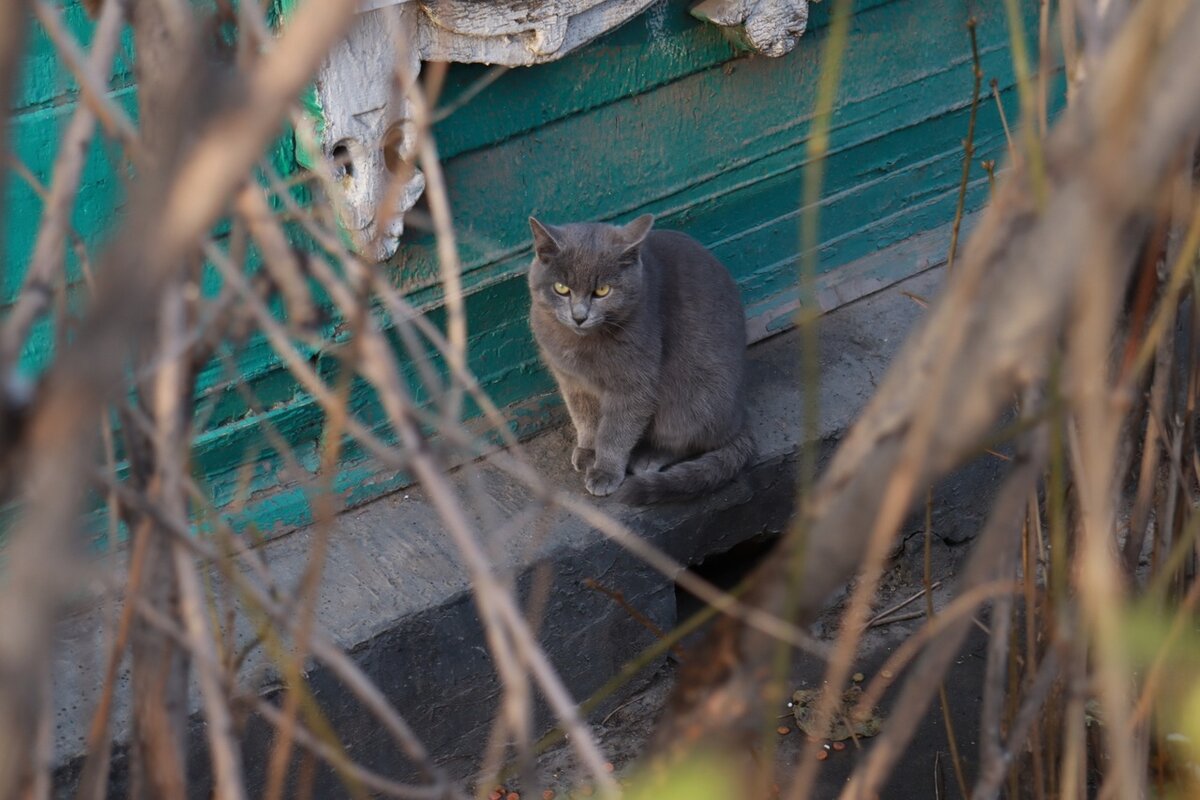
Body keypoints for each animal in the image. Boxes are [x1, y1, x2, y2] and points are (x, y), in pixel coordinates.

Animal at [525, 211, 748, 501]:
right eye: (561, 288)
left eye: (602, 291)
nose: (579, 316)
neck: (580, 345)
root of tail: (740, 418)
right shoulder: (571, 382)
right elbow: (584, 417)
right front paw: (588, 451)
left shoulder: (633, 385)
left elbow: (615, 431)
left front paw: (605, 471)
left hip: (693, 400)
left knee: (692, 440)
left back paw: (648, 458)